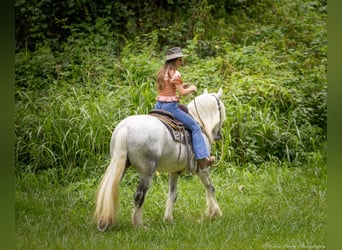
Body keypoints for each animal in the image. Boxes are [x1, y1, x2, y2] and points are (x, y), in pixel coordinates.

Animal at [94, 88, 227, 230]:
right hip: (147, 171)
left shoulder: (174, 171)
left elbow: (172, 193)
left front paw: (168, 218)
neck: (199, 122)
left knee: (111, 189)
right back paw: (139, 225)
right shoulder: (202, 167)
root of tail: (126, 128)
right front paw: (215, 213)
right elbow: (210, 187)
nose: (218, 136)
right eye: (221, 110)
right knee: (139, 195)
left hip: (121, 165)